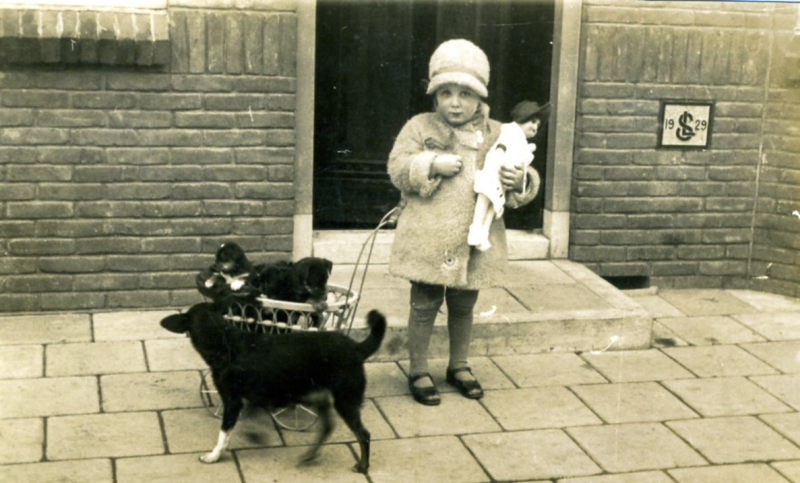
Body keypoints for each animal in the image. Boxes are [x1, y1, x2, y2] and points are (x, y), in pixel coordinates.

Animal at [159, 304, 384, 474]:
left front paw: (214, 455)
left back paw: (363, 466)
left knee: (363, 434)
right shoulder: (258, 397)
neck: (226, 342)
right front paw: (255, 435)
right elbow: (250, 419)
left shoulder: (233, 401)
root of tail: (356, 348)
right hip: (309, 394)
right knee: (327, 427)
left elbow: (225, 432)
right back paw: (309, 456)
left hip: (345, 399)